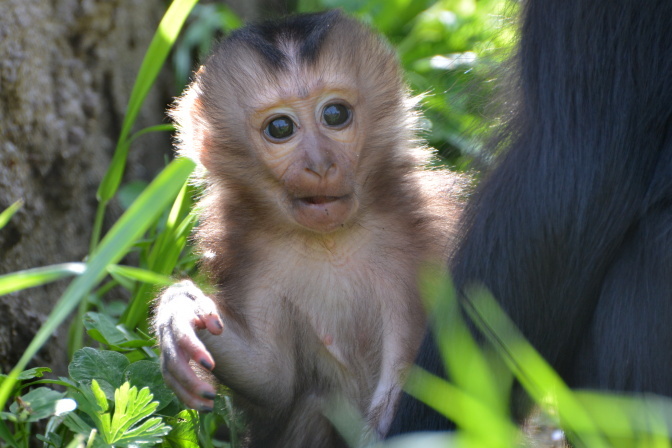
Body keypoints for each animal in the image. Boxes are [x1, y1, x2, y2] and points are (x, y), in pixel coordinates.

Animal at [155, 8, 464, 446]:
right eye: (280, 128)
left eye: (335, 115)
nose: (320, 165)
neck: (330, 242)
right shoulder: (246, 253)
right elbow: (273, 380)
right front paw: (181, 312)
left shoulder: (425, 233)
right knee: (315, 404)